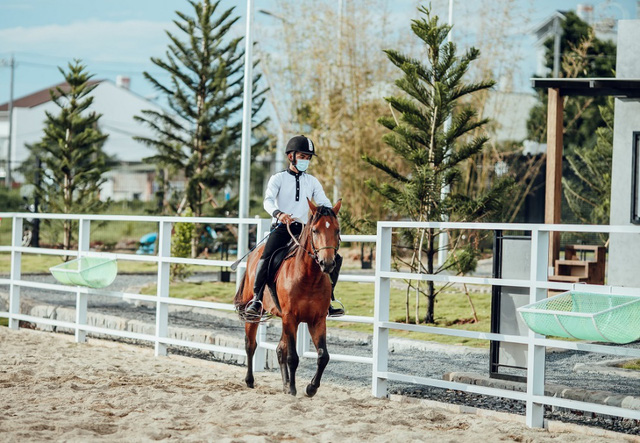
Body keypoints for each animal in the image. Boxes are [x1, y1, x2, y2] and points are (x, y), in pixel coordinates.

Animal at [235, 199, 342, 398]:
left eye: (337, 230)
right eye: (315, 230)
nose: (328, 263)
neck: (308, 276)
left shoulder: (317, 320)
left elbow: (323, 356)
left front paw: (311, 387)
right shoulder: (290, 317)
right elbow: (292, 356)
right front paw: (293, 388)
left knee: (279, 349)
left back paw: (284, 383)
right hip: (253, 314)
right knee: (250, 345)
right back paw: (250, 380)